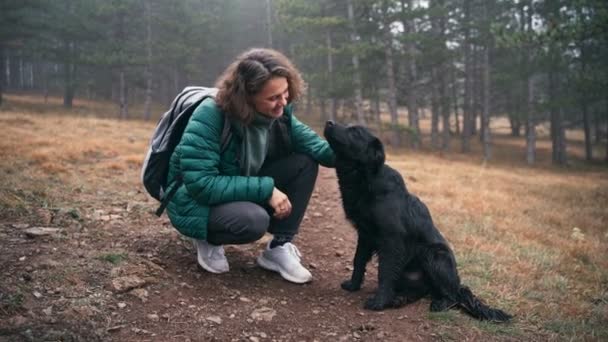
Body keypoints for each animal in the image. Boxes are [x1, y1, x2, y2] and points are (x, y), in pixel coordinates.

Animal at [326, 121, 510, 322]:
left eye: (355, 132)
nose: (329, 122)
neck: (366, 181)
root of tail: (457, 283)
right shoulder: (365, 235)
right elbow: (358, 260)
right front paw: (353, 285)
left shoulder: (391, 240)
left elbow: (385, 272)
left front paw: (379, 302)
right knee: (420, 291)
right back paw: (399, 299)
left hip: (435, 255)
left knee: (452, 295)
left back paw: (438, 304)